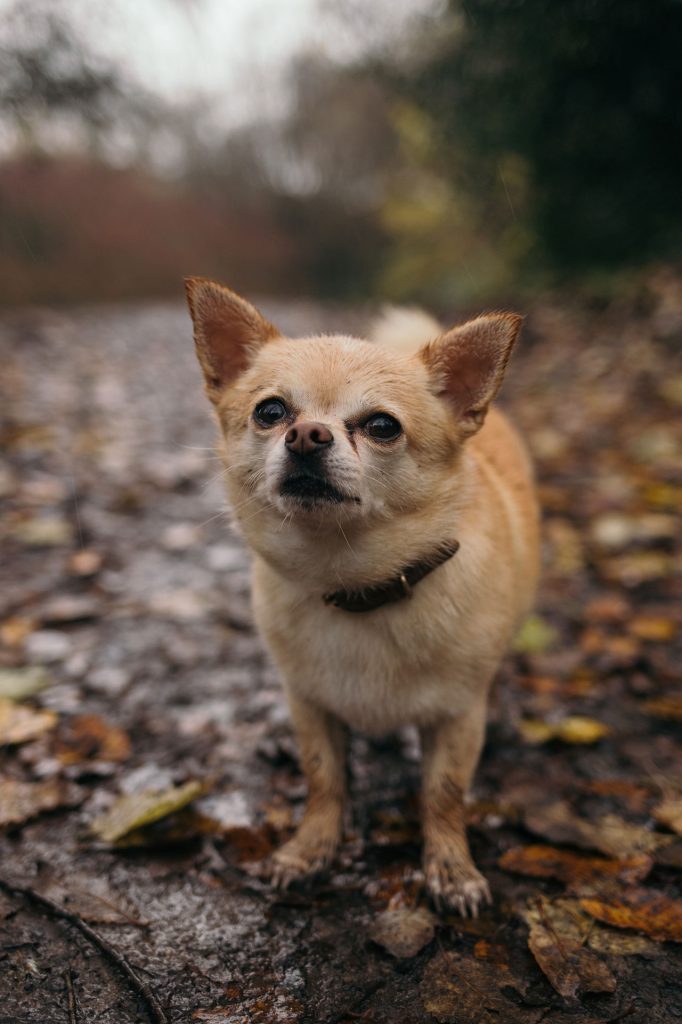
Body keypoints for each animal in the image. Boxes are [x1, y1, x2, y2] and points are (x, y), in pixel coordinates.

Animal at [184, 276, 536, 917]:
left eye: (382, 426)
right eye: (270, 412)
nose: (306, 434)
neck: (354, 581)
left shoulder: (457, 718)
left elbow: (443, 793)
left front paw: (451, 870)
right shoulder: (309, 704)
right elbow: (324, 779)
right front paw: (310, 850)